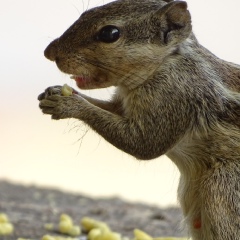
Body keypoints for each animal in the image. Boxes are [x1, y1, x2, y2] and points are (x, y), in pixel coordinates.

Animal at [38, 0, 240, 239]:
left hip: (220, 193)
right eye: (87, 12)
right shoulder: (121, 105)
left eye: (109, 33)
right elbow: (107, 109)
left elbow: (144, 144)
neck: (167, 62)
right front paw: (54, 92)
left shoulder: (176, 97)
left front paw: (68, 104)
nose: (49, 52)